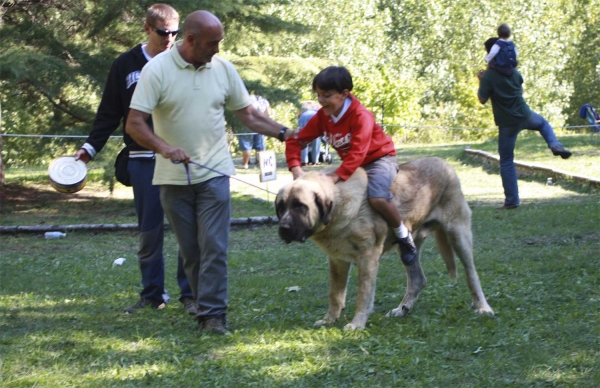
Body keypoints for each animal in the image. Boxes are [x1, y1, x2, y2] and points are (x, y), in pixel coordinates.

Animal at [276, 156, 492, 328]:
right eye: (280, 207)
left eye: (300, 206)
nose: (283, 228)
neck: (339, 207)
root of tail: (445, 164)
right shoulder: (338, 261)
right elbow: (335, 294)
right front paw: (329, 320)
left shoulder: (368, 257)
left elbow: (363, 295)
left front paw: (357, 324)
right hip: (408, 251)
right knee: (418, 280)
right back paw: (402, 309)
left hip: (458, 234)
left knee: (471, 273)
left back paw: (483, 307)